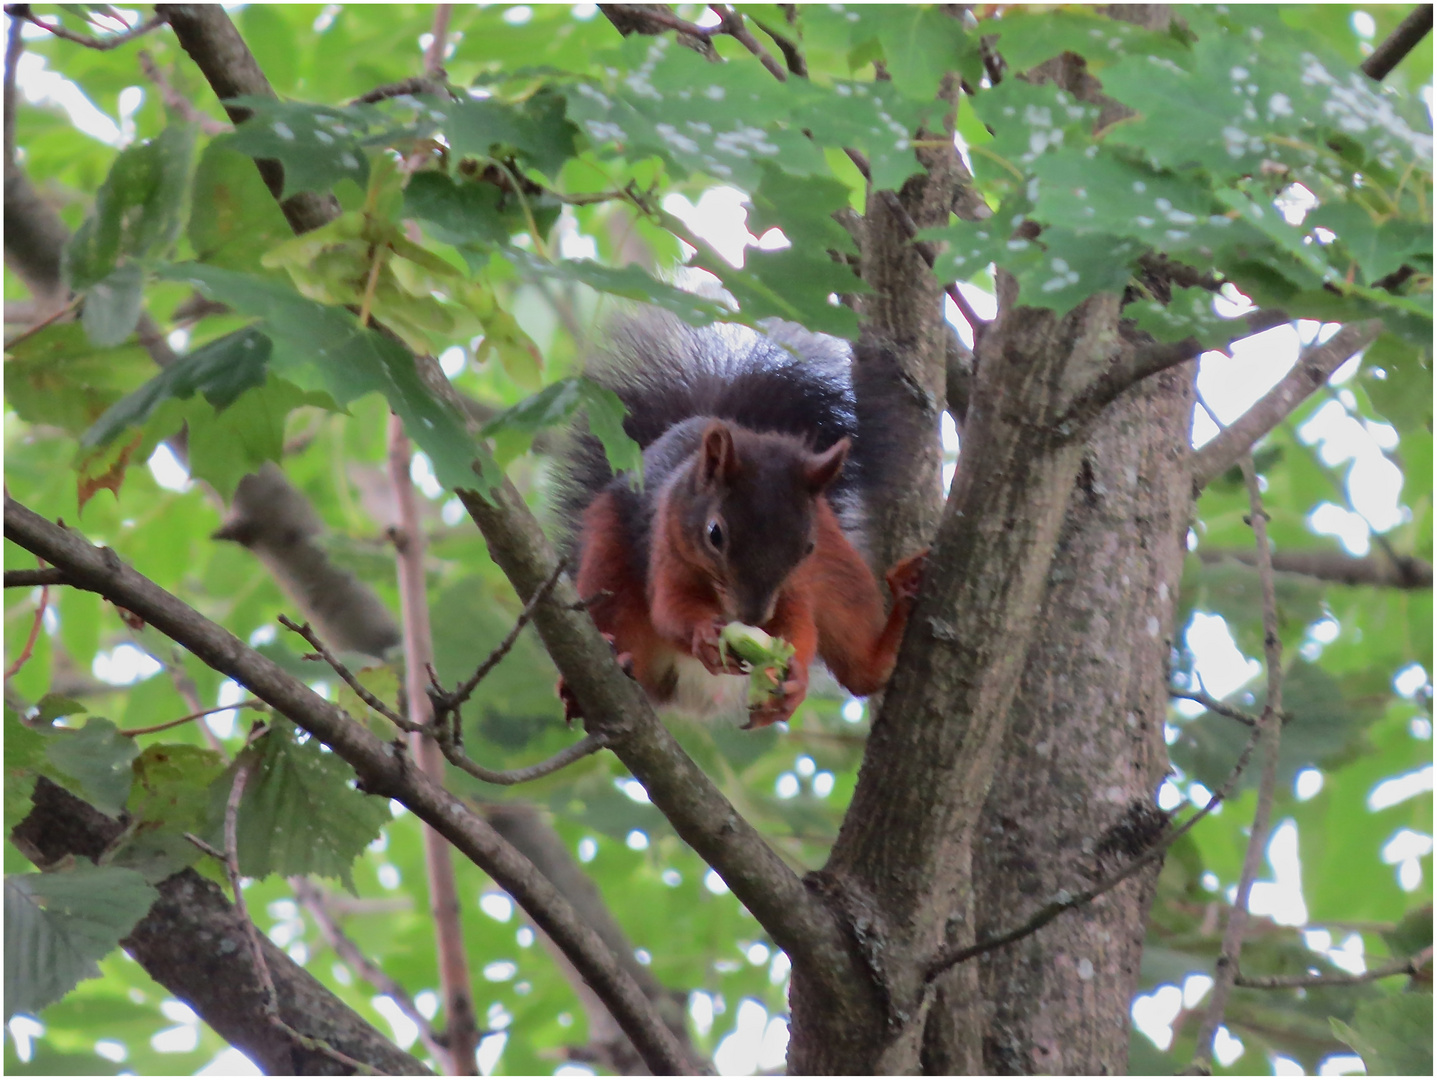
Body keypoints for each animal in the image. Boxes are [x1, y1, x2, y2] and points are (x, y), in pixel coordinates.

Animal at [554, 315, 925, 729]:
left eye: (806, 547)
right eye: (714, 534)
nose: (753, 617)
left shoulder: (797, 582)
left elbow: (800, 624)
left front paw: (793, 678)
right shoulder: (666, 542)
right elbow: (670, 607)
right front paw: (703, 633)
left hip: (841, 569)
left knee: (860, 669)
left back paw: (901, 605)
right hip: (608, 558)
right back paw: (589, 681)